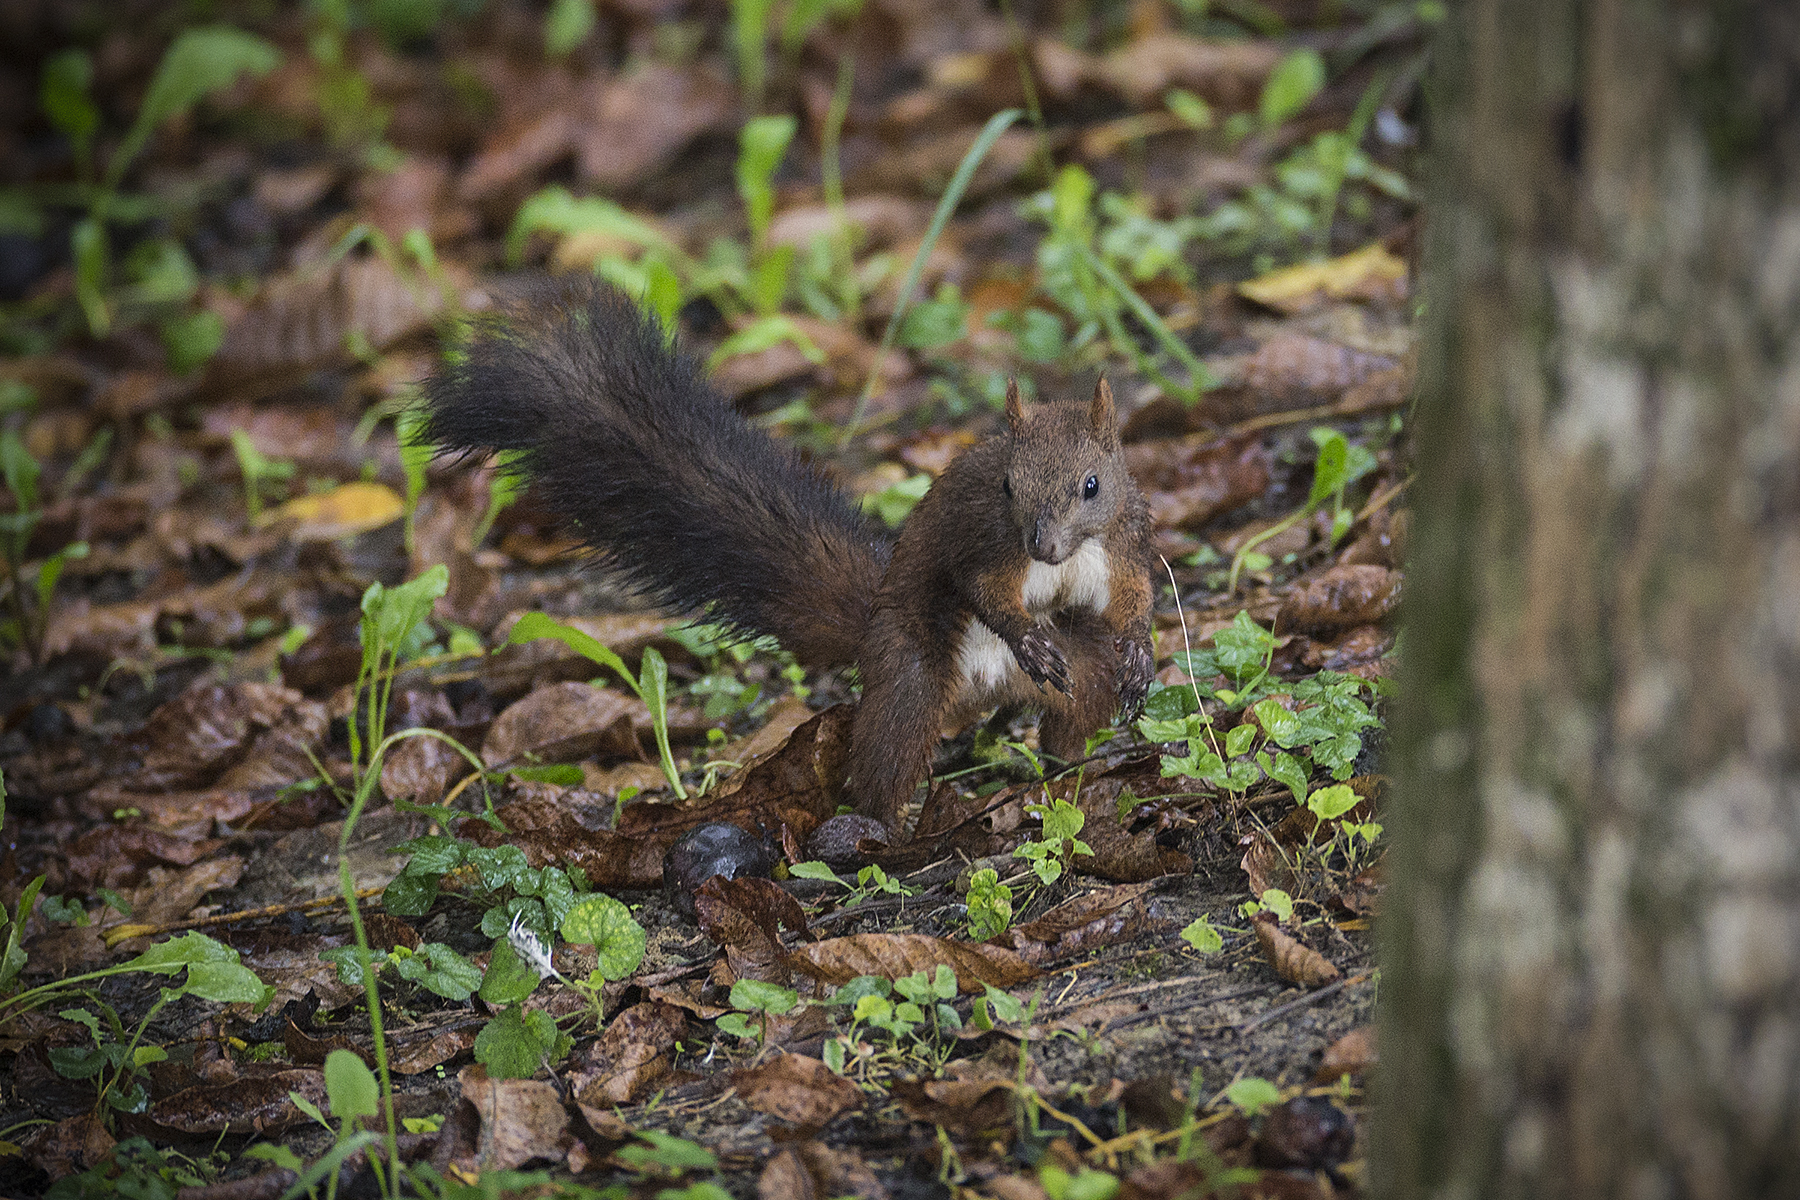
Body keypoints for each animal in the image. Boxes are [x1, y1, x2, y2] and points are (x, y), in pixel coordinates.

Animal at [422, 278, 1156, 833]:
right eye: (1006, 486)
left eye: (1092, 485)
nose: (1044, 546)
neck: (1066, 557)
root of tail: (984, 685)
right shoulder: (985, 546)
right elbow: (984, 590)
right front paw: (1027, 635)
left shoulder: (1124, 544)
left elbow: (1134, 597)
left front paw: (1143, 652)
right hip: (911, 671)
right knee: (887, 754)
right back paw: (881, 829)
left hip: (1079, 670)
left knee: (1079, 704)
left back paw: (1074, 768)